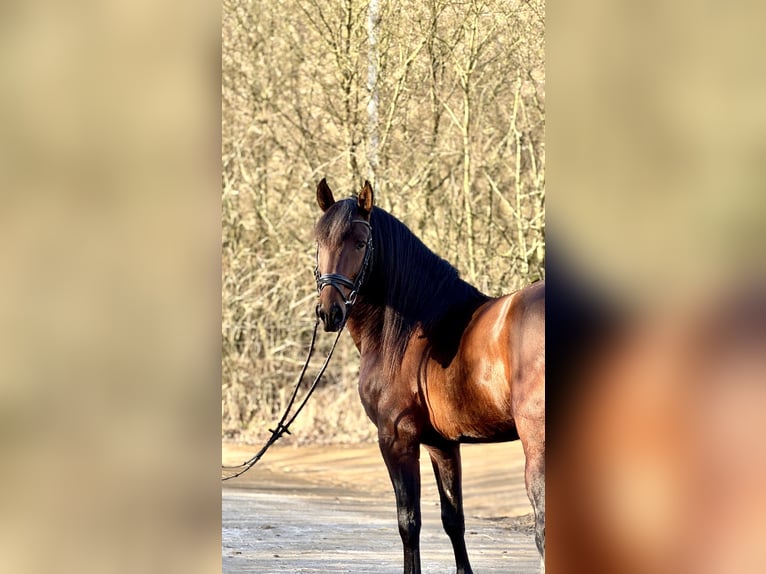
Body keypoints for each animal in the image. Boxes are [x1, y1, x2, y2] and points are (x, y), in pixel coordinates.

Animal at [312, 178, 544, 572]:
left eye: (360, 243)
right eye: (319, 241)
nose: (330, 312)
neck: (412, 333)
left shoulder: (397, 439)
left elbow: (409, 523)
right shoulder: (442, 444)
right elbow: (453, 520)